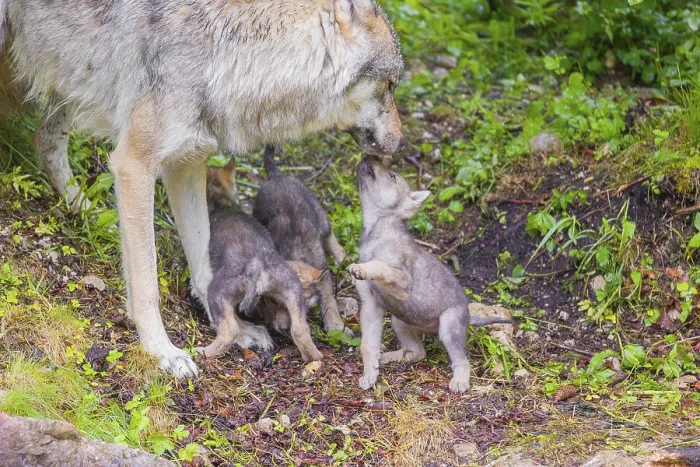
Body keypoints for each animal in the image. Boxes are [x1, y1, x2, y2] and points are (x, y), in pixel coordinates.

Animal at [252, 146, 350, 335]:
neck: (294, 255)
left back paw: (341, 257)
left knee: (329, 235)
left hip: (319, 215)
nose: (284, 328)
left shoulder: (323, 277)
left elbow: (329, 301)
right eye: (274, 301)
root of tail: (277, 176)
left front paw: (336, 326)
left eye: (301, 302)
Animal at [348, 156, 512, 393]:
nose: (369, 156)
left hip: (448, 327)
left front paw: (361, 268)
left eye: (392, 176)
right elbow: (367, 345)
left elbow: (380, 265)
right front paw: (370, 374)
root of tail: (469, 316)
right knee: (418, 352)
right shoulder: (370, 306)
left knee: (462, 361)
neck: (377, 231)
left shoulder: (402, 283)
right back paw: (392, 356)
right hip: (400, 320)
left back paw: (460, 381)